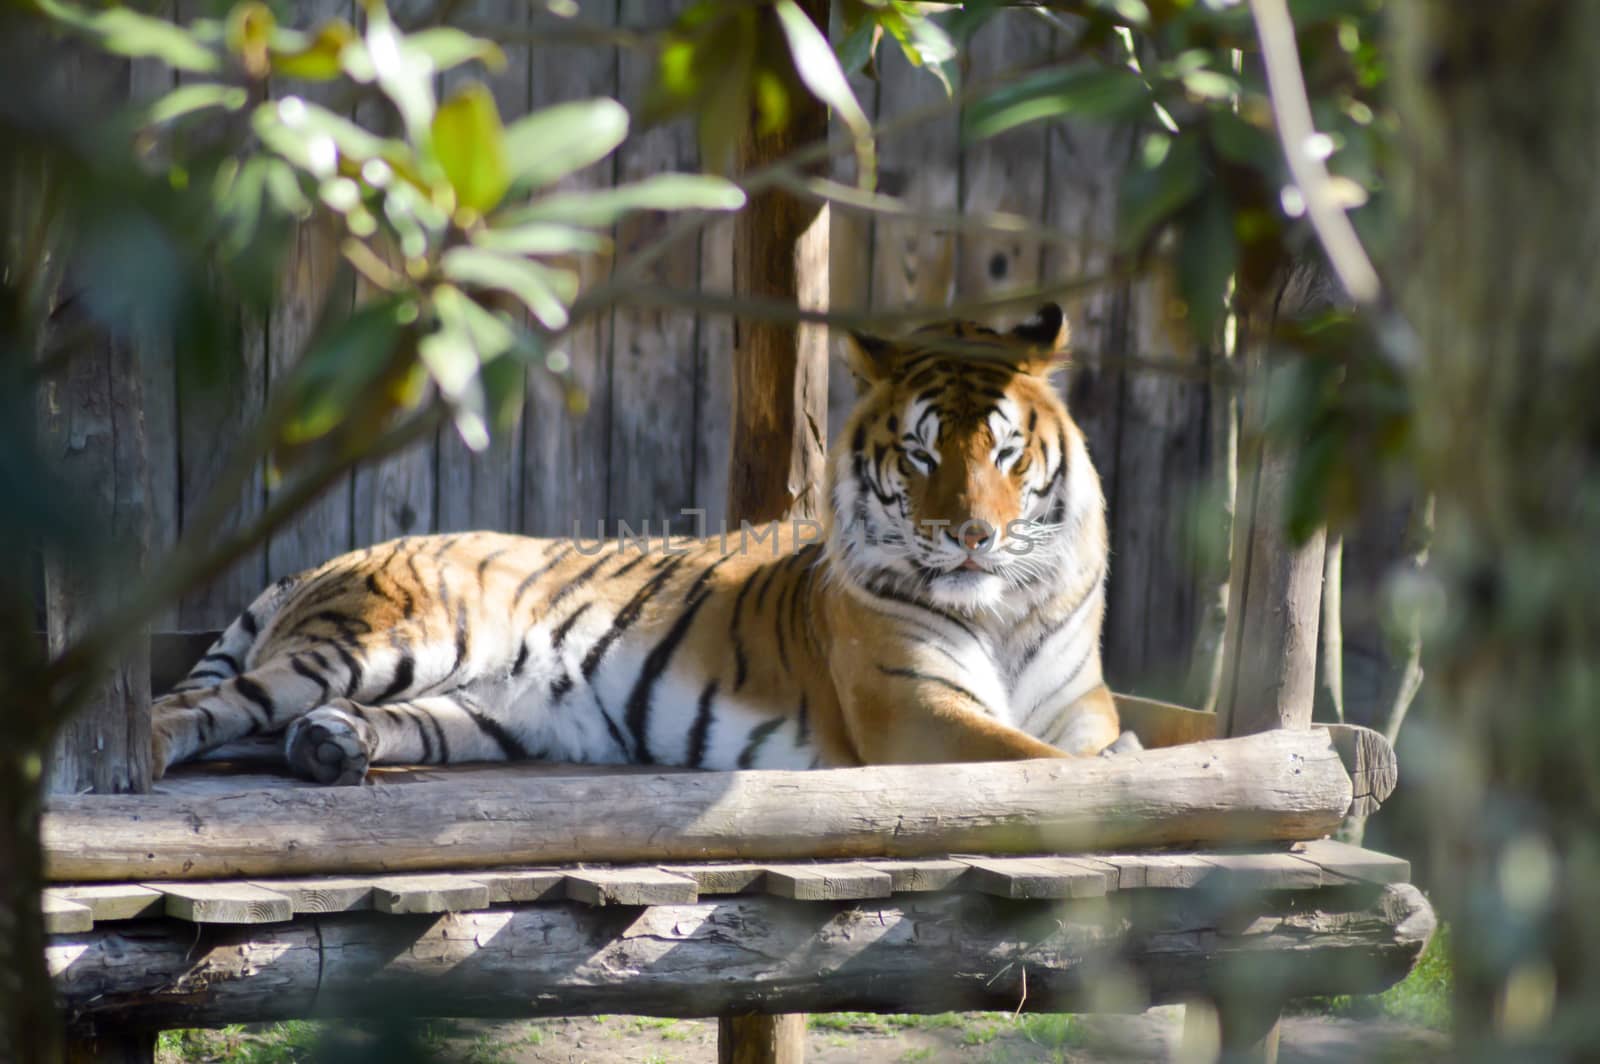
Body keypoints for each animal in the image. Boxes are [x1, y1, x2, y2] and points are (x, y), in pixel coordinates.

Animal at [152, 299, 1126, 780]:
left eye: (1005, 451)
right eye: (921, 453)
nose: (971, 537)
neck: (1005, 609)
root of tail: (324, 562)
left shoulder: (1085, 705)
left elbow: (1110, 750)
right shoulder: (913, 709)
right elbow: (1049, 768)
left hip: (483, 713)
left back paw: (329, 746)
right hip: (386, 641)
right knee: (200, 707)